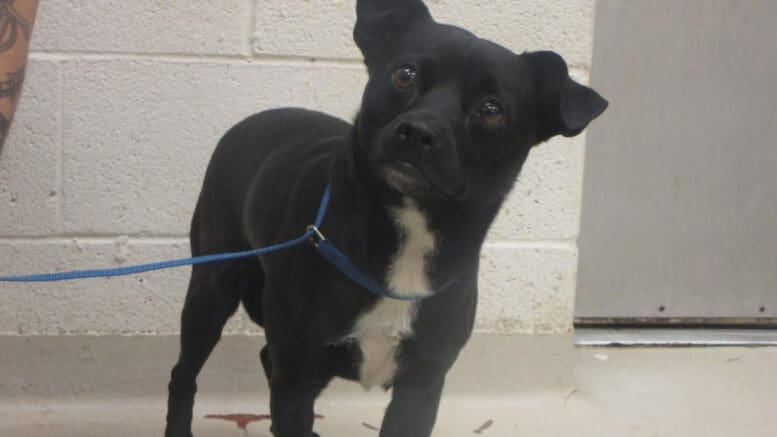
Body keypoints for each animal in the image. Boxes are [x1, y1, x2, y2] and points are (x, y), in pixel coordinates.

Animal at [165, 1, 608, 434]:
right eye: (404, 75)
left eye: (492, 111)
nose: (419, 132)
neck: (410, 230)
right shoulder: (297, 376)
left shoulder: (422, 384)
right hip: (213, 287)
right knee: (183, 374)